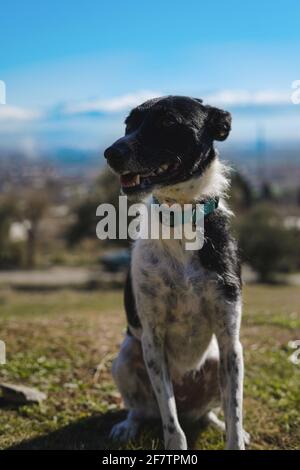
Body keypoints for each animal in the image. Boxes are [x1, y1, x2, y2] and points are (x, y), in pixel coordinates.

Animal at [104, 96, 247, 452]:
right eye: (128, 123)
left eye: (168, 122)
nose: (110, 153)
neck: (180, 218)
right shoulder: (152, 340)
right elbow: (171, 422)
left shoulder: (230, 341)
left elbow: (235, 412)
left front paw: (237, 435)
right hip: (126, 358)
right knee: (143, 409)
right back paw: (128, 426)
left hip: (216, 363)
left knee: (211, 412)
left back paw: (215, 421)